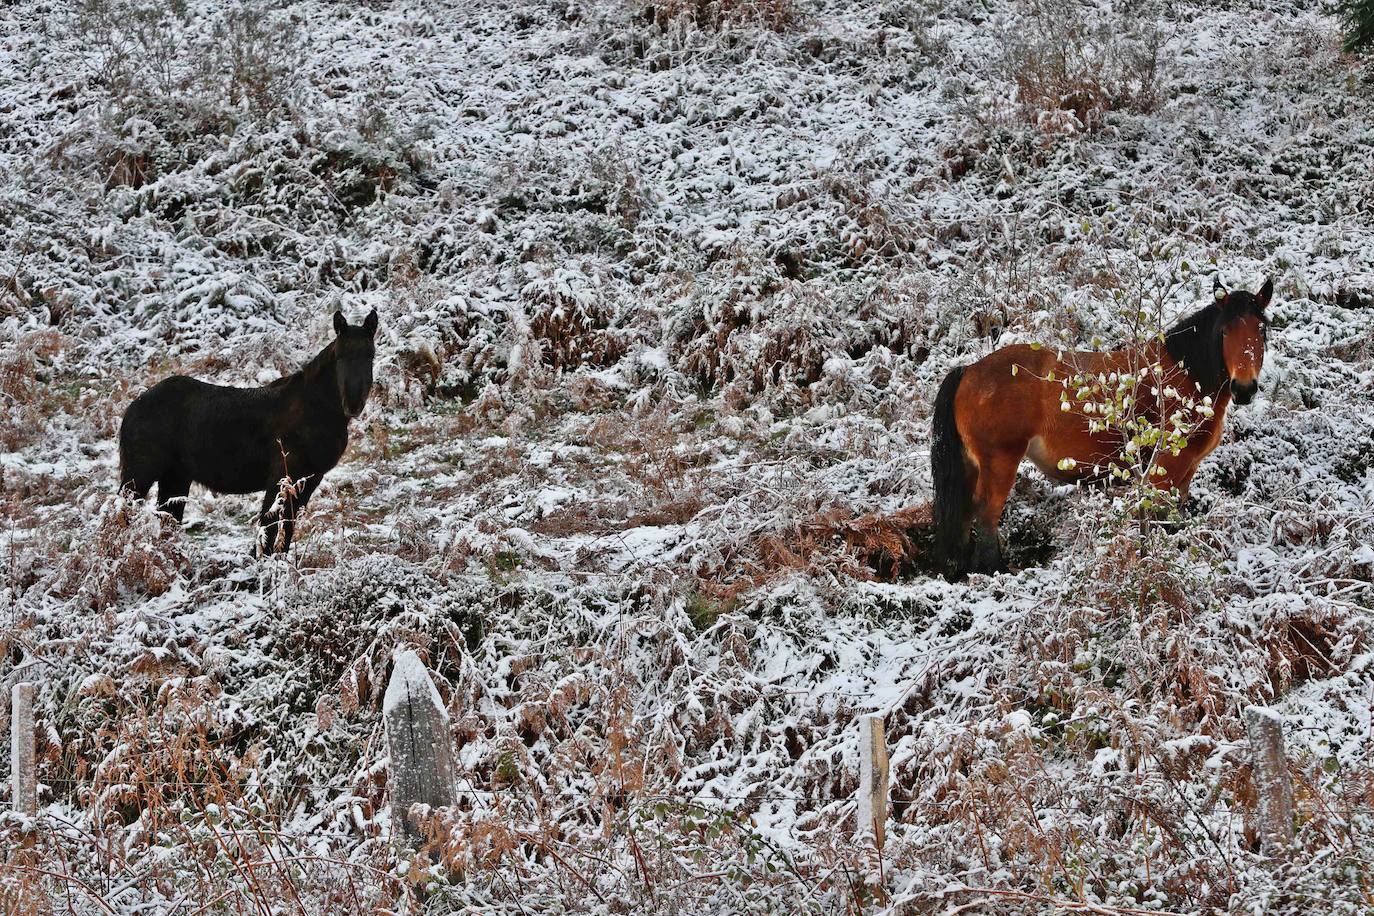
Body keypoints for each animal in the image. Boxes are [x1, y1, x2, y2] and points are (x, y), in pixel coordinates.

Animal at [115, 307, 376, 554]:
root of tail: (133, 407)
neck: (315, 409)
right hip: (140, 477)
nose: (353, 404)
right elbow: (269, 528)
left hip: (175, 478)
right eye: (340, 356)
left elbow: (285, 530)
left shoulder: (309, 480)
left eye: (370, 356)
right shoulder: (281, 478)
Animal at [928, 281, 1269, 579]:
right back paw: (994, 571)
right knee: (986, 514)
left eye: (1261, 329)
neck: (1185, 375)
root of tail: (969, 371)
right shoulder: (1167, 469)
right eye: (1224, 331)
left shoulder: (1185, 473)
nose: (1244, 388)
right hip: (1000, 462)